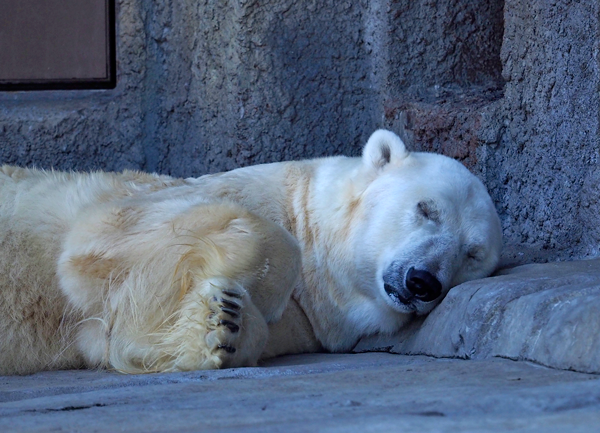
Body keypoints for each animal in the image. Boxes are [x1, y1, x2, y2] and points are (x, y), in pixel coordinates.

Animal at [0, 129, 502, 374]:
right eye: (425, 208)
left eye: (473, 254)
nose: (424, 280)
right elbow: (100, 234)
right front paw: (229, 306)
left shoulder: (306, 322)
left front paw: (221, 327)